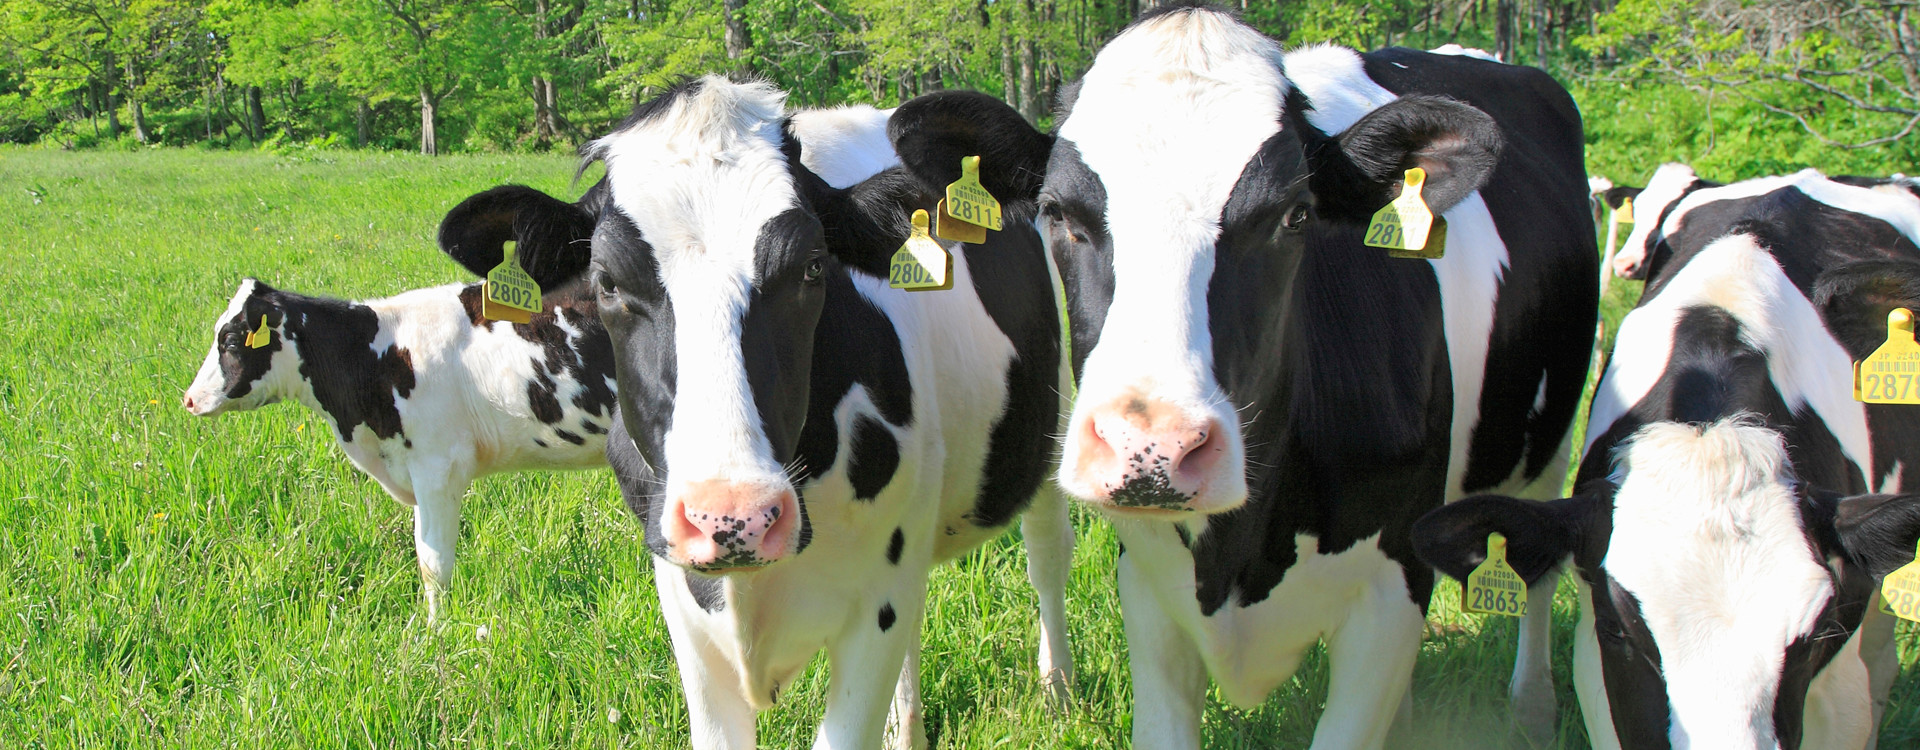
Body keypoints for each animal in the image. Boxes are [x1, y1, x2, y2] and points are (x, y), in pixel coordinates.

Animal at [180, 270, 614, 621]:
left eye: (230, 340)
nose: (189, 399)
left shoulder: (437, 469)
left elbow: (434, 562)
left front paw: (436, 632)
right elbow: (424, 556)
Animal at [432, 79, 1082, 748]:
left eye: (815, 266)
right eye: (606, 281)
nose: (733, 517)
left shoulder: (875, 602)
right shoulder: (684, 599)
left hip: (1054, 419)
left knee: (1048, 554)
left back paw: (1058, 692)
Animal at [883, 4, 1605, 744]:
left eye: (1294, 215)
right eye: (1060, 214)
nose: (1154, 449)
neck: (1243, 550)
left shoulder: (1390, 590)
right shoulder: (1149, 587)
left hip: (1547, 445)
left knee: (1534, 567)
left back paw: (1533, 705)